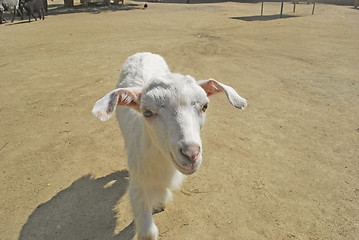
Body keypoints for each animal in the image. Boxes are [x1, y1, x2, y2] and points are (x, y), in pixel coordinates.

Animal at [92, 51, 248, 239]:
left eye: (205, 106)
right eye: (147, 112)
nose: (191, 153)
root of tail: (144, 53)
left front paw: (160, 202)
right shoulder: (138, 184)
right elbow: (148, 232)